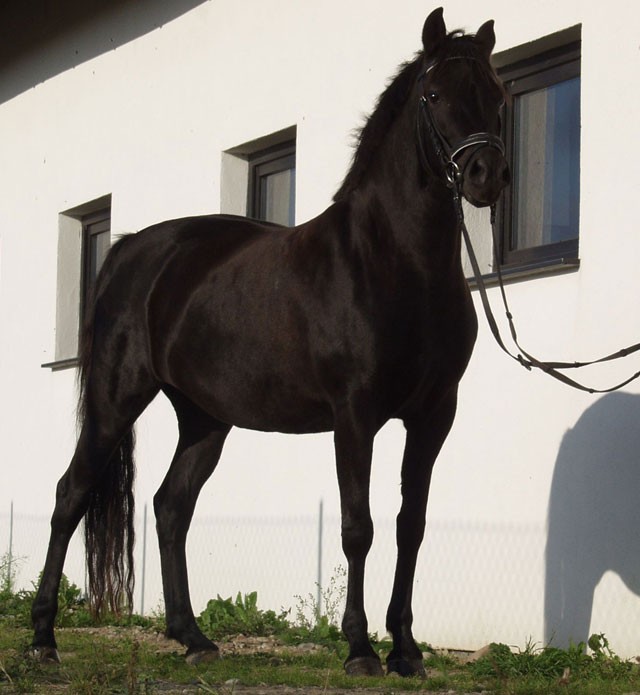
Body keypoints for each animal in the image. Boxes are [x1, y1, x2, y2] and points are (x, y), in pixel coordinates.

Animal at [30, 7, 509, 677]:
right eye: (435, 94)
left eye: (496, 93)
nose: (487, 175)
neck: (394, 263)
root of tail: (128, 250)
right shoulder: (354, 415)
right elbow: (358, 526)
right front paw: (360, 649)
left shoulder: (434, 415)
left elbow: (409, 525)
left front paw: (407, 650)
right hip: (114, 400)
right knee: (70, 496)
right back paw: (43, 637)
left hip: (204, 419)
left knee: (171, 507)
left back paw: (193, 637)